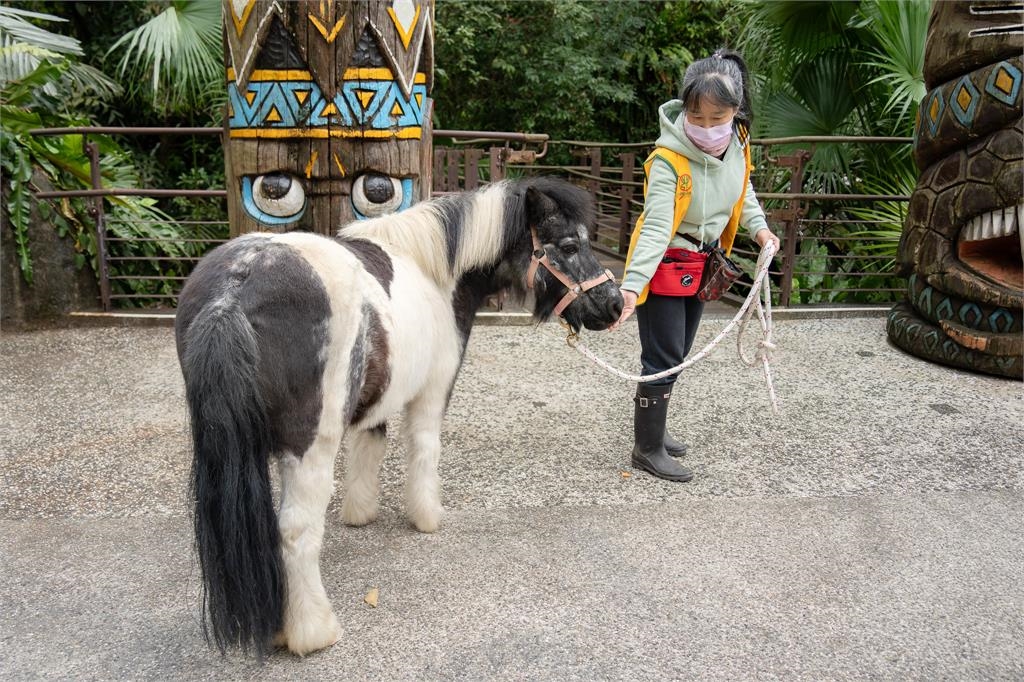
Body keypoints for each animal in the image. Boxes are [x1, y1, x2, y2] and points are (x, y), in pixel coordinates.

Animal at [173, 177, 623, 657]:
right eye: (571, 245)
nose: (616, 305)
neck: (434, 271)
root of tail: (234, 288)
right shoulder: (432, 393)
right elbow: (425, 451)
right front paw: (427, 516)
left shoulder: (377, 403)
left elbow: (368, 449)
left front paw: (361, 513)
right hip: (310, 447)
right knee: (295, 531)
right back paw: (313, 631)